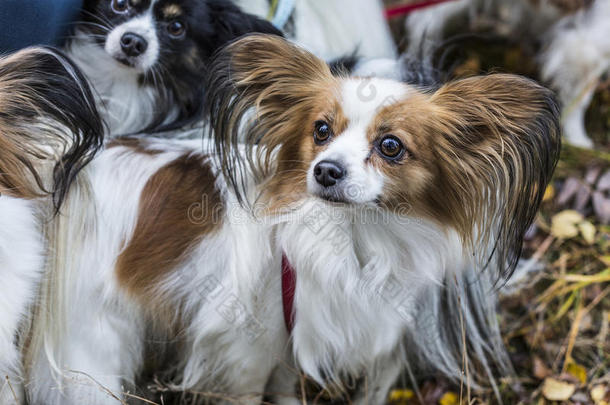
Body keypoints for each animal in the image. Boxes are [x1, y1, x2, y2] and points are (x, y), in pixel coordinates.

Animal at [26, 35, 560, 404]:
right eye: (321, 130)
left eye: (391, 146)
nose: (325, 170)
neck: (356, 234)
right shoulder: (246, 348)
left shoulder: (289, 341)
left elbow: (286, 388)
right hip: (93, 343)